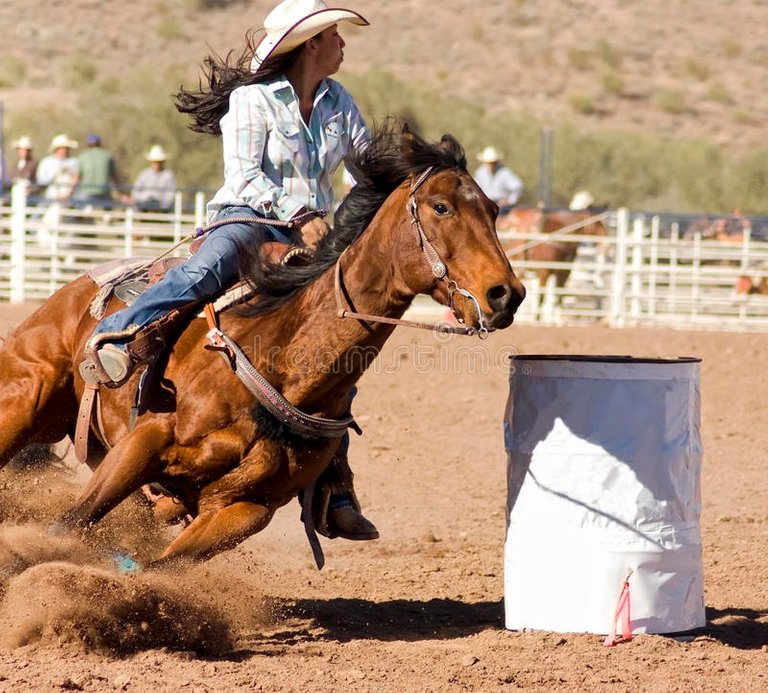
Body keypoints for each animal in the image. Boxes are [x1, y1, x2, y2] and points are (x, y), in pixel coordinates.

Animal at [0, 127, 520, 564]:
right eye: (440, 207)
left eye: (494, 210)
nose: (506, 294)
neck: (281, 361)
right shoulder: (142, 443)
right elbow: (68, 526)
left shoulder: (245, 509)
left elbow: (159, 569)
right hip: (23, 402)